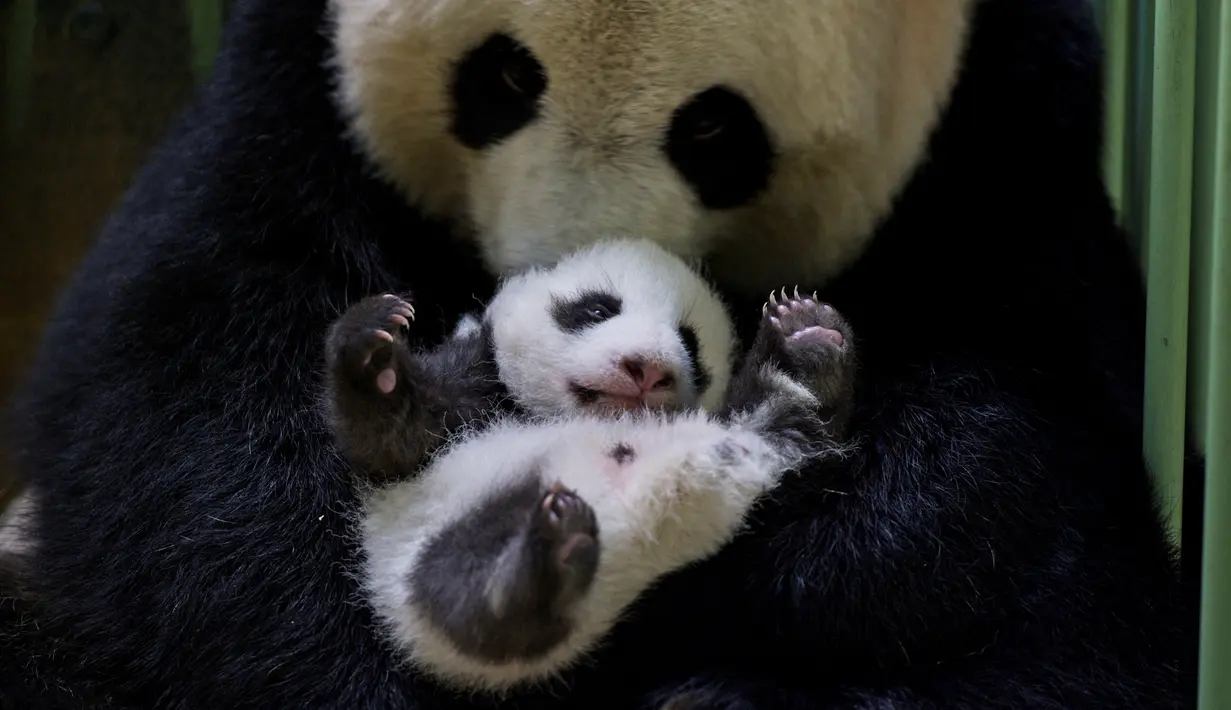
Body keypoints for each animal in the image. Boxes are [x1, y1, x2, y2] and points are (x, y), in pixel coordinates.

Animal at [321, 238, 855, 693]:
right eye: (597, 310)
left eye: (689, 341)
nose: (648, 368)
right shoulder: (475, 389)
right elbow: (392, 440)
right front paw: (375, 351)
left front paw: (805, 339)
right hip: (431, 551)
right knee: (471, 603)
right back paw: (539, 565)